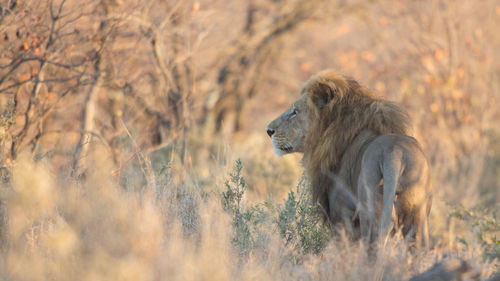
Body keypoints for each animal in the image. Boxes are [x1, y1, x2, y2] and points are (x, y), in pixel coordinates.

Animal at [268, 69, 432, 245]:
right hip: (417, 216)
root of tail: (394, 152)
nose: (268, 130)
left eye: (294, 112)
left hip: (369, 212)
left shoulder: (342, 217)